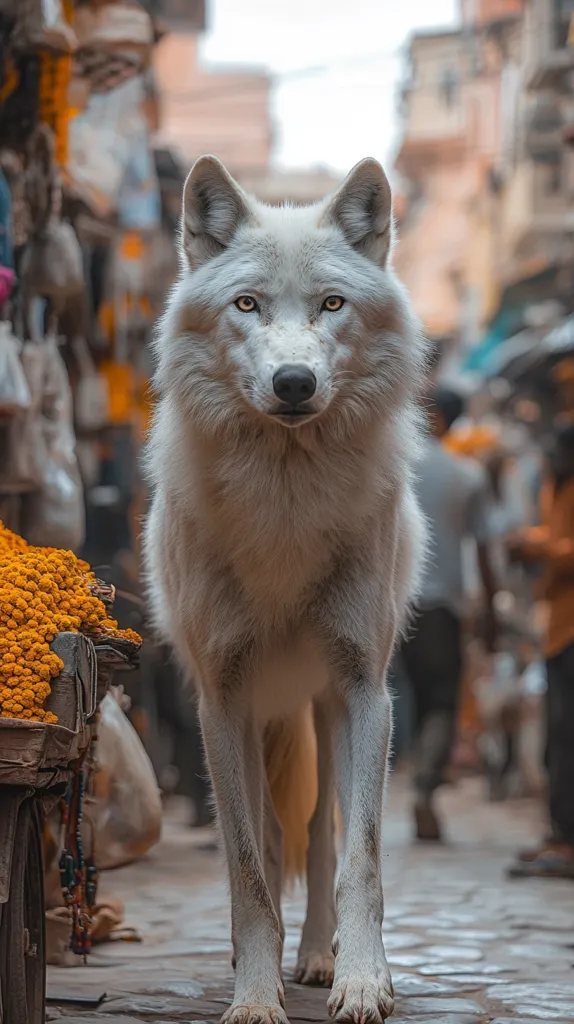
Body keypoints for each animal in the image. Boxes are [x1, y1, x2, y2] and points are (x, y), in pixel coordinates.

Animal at [143, 154, 428, 1024]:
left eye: (332, 303)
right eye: (247, 304)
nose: (295, 382)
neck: (286, 506)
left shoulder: (367, 689)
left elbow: (361, 858)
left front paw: (363, 982)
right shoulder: (222, 699)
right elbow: (246, 868)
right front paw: (252, 998)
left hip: (326, 707)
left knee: (321, 836)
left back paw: (317, 958)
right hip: (258, 717)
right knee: (272, 839)